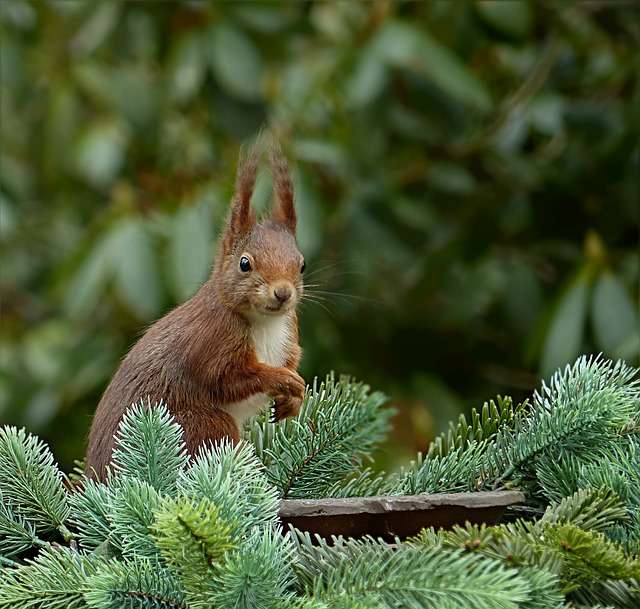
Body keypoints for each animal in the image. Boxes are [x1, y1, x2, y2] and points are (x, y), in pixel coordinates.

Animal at [85, 140, 306, 480]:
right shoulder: (212, 340)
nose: (283, 293)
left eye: (302, 265)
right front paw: (283, 379)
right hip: (202, 426)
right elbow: (227, 379)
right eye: (245, 263)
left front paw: (293, 399)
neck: (265, 322)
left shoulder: (289, 331)